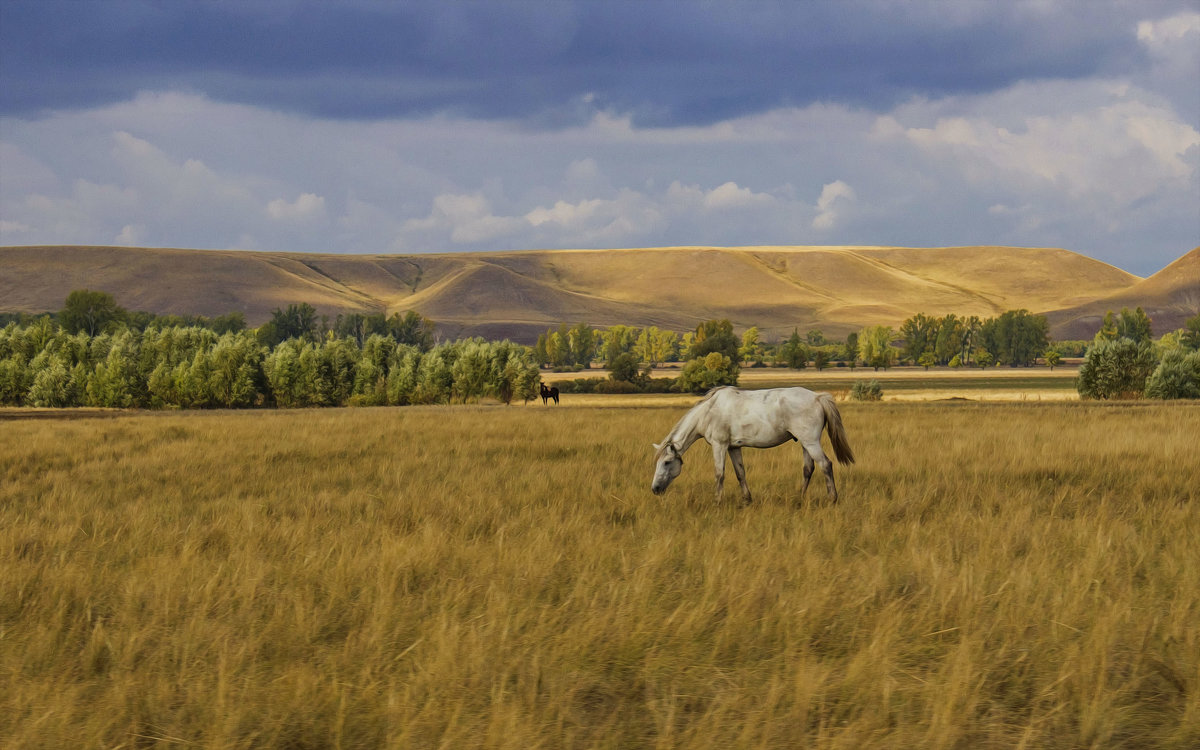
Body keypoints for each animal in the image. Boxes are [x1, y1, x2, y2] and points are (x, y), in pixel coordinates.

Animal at [657, 386, 854, 504]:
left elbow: (719, 474)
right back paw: (800, 498)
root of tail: (818, 397)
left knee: (826, 465)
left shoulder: (719, 445)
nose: (655, 489)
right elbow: (740, 473)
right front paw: (747, 500)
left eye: (666, 462)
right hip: (805, 444)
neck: (709, 411)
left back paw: (832, 499)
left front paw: (717, 501)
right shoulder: (733, 447)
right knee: (808, 469)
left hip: (811, 442)